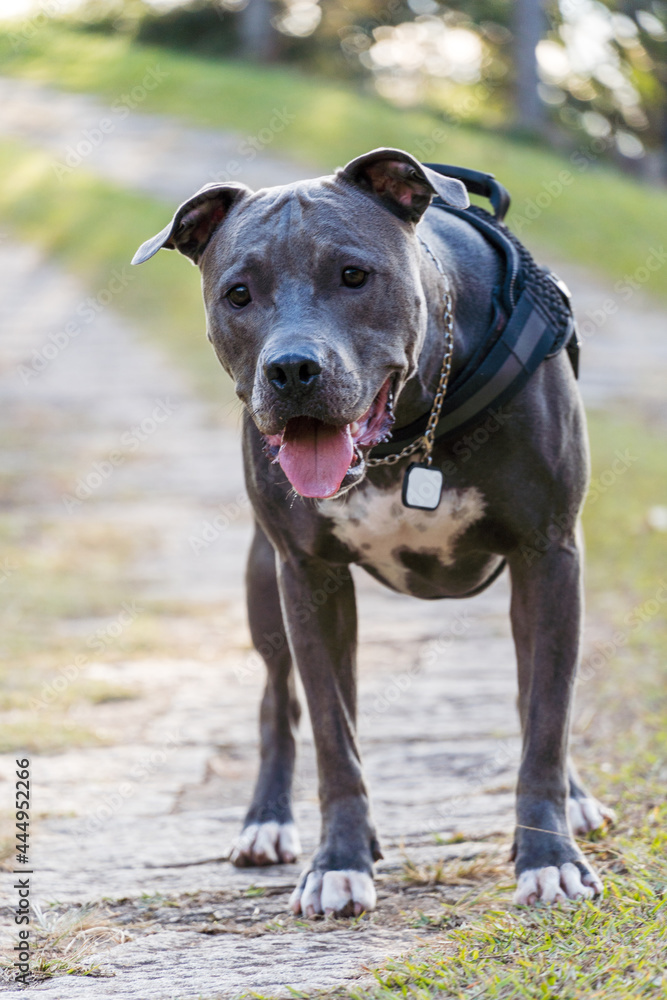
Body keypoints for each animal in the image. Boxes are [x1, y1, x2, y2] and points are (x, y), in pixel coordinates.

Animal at [133, 146, 612, 916]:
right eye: (238, 294)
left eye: (354, 275)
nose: (292, 369)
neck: (409, 435)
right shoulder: (307, 574)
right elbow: (334, 733)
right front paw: (339, 862)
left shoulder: (549, 553)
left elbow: (545, 716)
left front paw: (548, 857)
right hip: (266, 587)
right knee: (282, 700)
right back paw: (270, 821)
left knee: (536, 693)